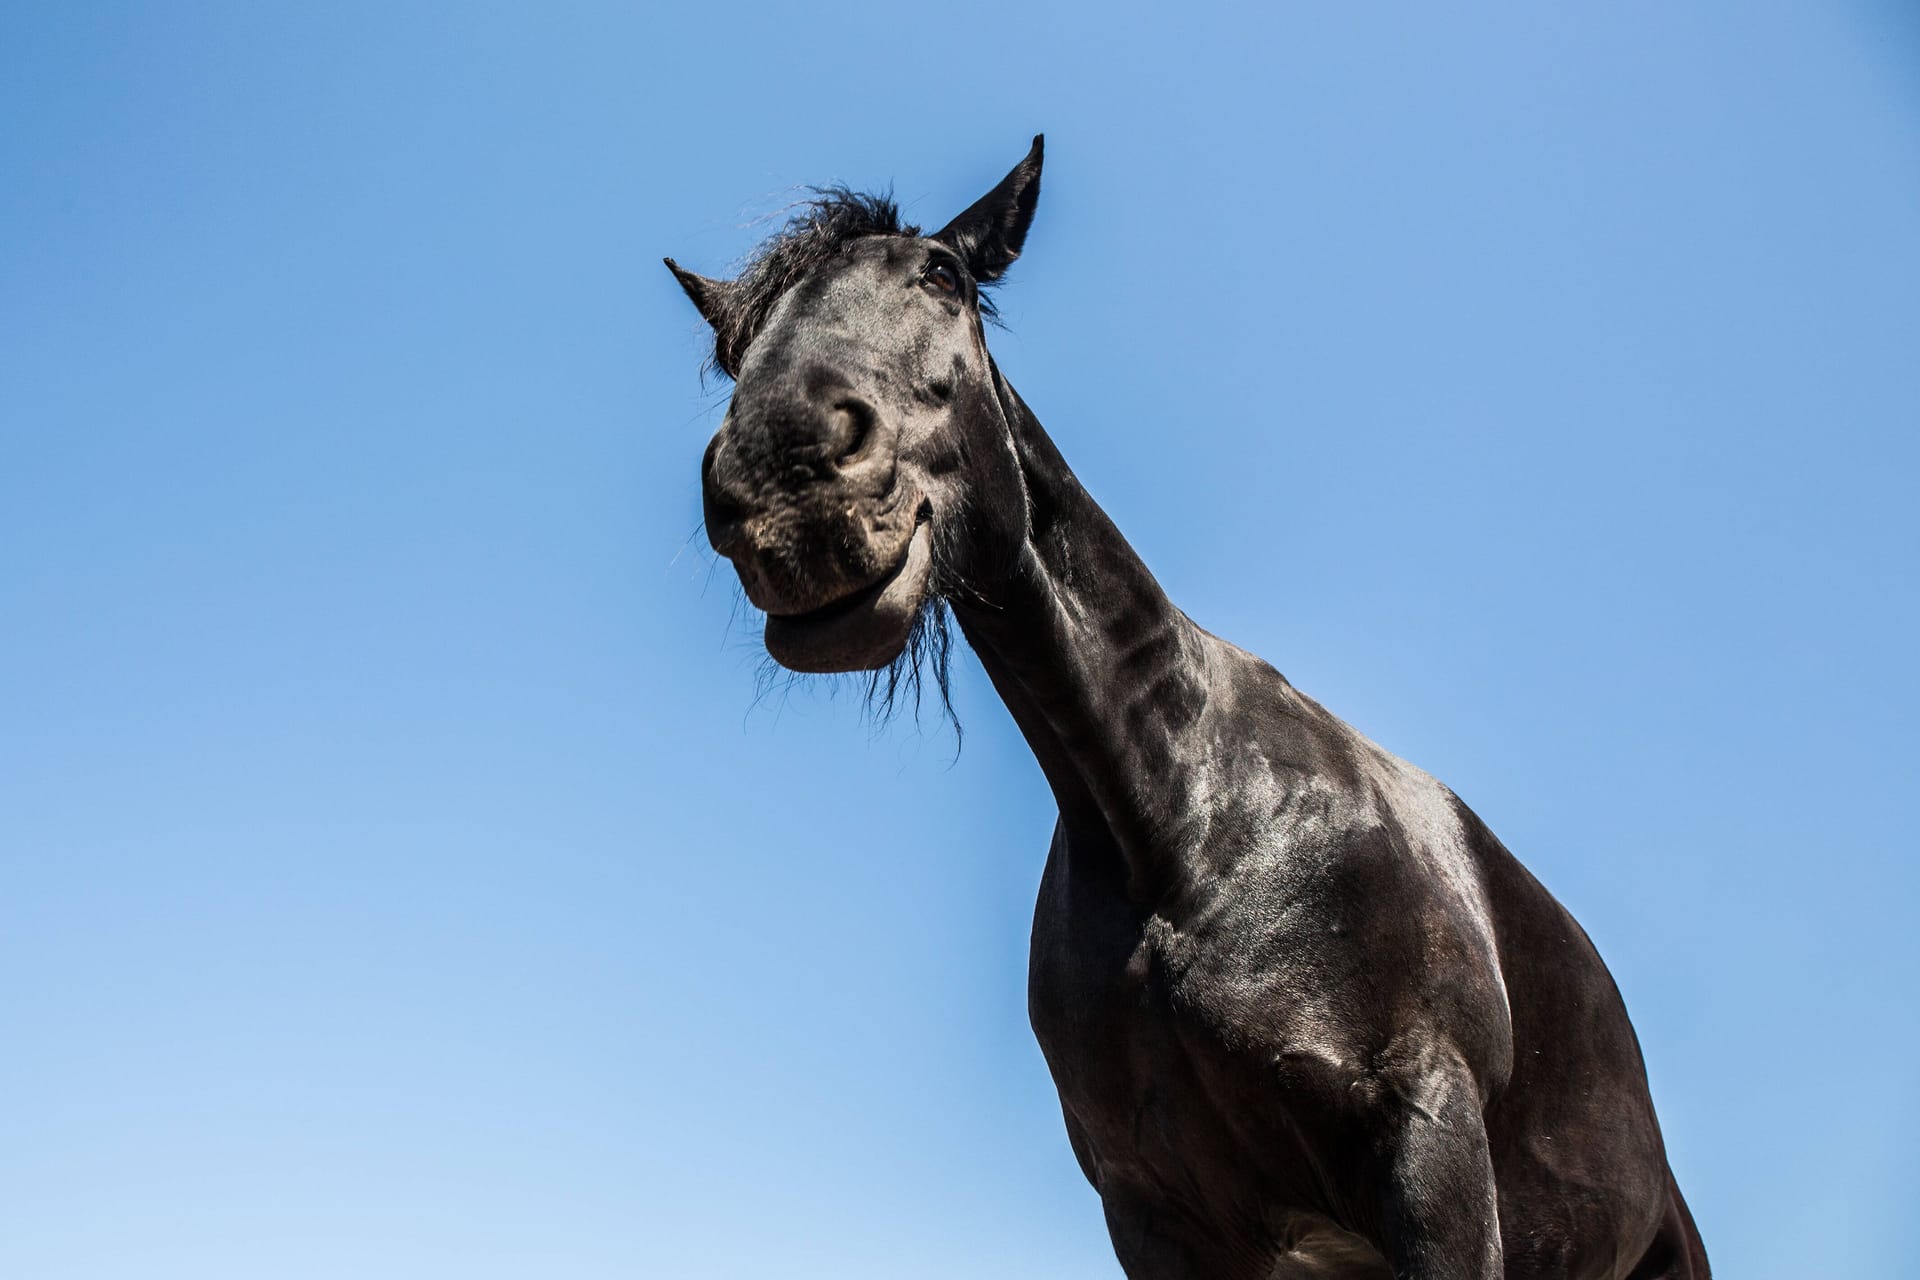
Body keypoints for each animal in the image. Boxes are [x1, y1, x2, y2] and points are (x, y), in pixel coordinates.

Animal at [664, 140, 1712, 1280]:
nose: (786, 474)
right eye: (734, 347)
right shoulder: (1157, 1215)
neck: (1186, 823)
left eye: (943, 275)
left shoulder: (1433, 1157)